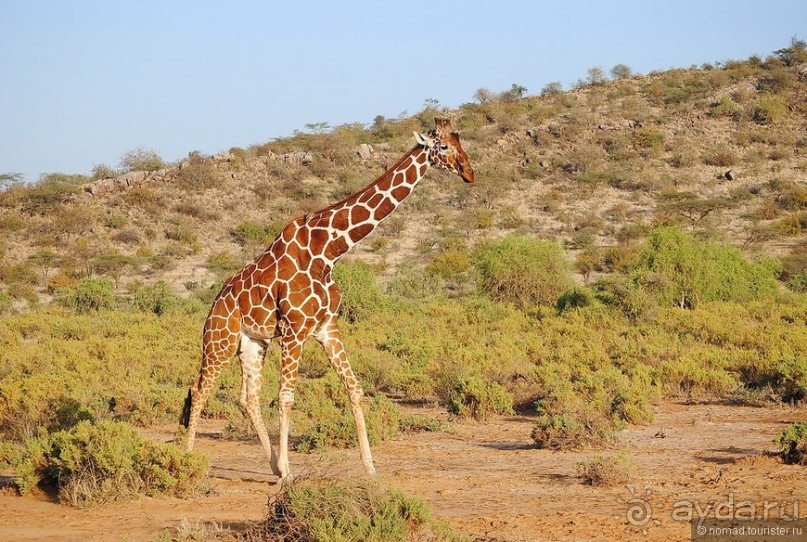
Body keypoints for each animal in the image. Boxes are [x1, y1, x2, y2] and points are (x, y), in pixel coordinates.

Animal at [181, 118, 474, 480]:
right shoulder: (294, 330)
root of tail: (215, 304)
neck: (329, 250)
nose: (469, 172)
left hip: (252, 342)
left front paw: (370, 467)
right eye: (443, 146)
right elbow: (286, 396)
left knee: (247, 397)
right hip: (219, 340)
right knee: (200, 390)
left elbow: (355, 389)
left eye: (462, 142)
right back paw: (187, 460)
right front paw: (289, 472)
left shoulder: (325, 327)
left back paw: (270, 465)